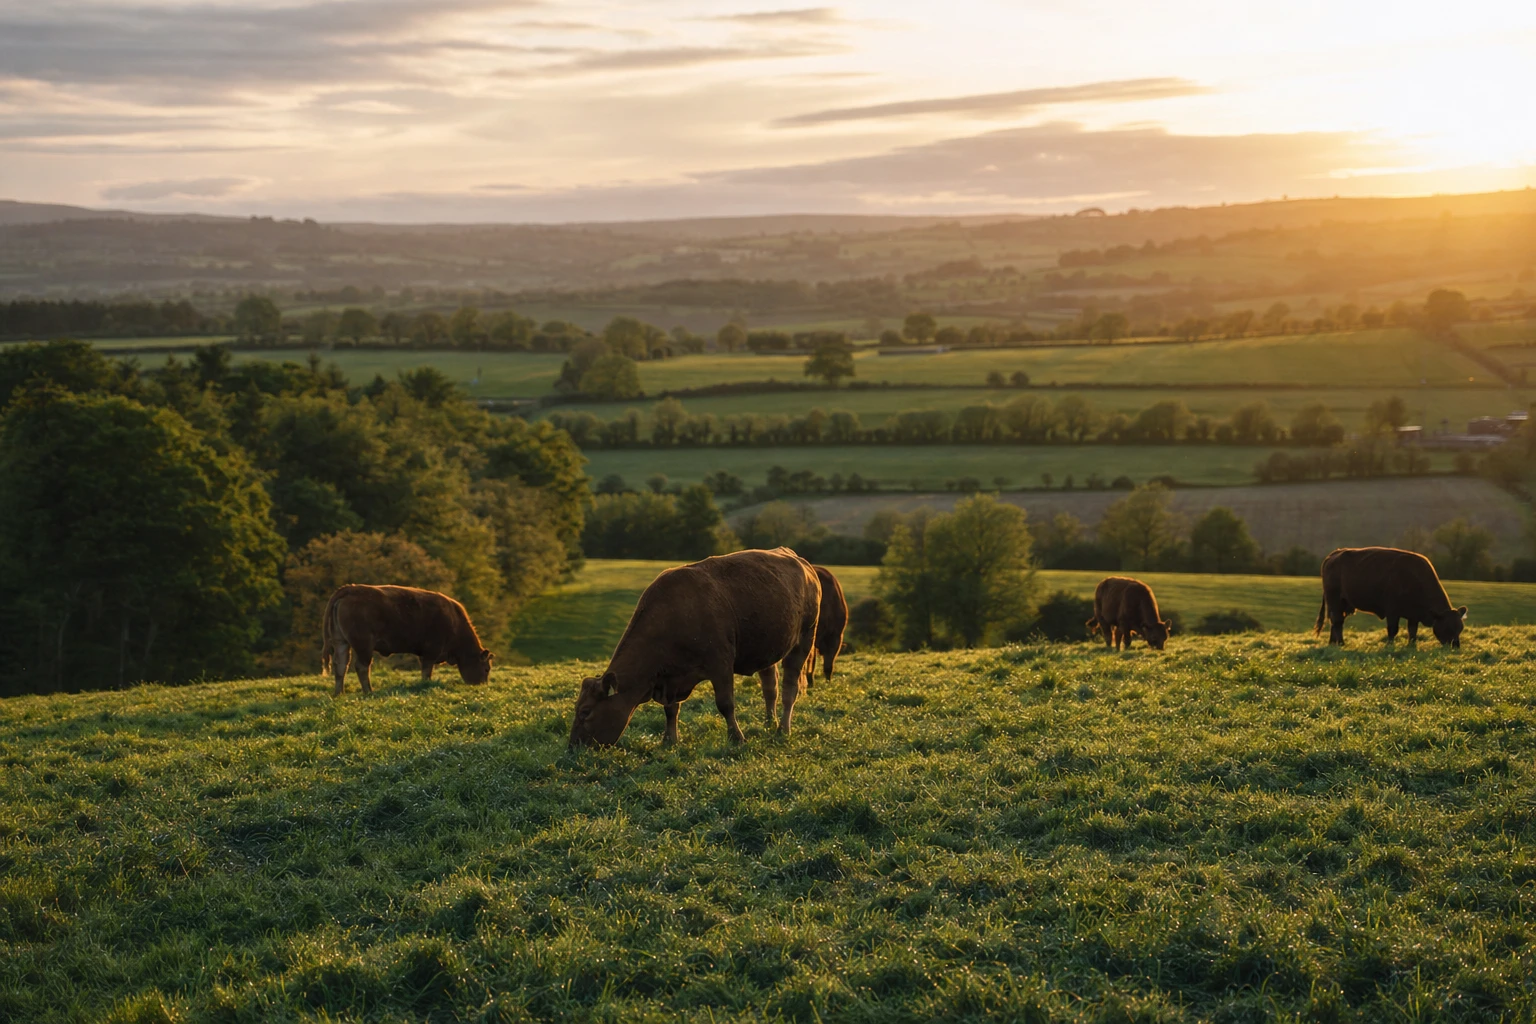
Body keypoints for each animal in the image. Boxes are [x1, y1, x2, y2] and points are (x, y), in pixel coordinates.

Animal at [321, 584, 494, 696]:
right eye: (486, 669)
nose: (482, 686)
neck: (455, 621)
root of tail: (350, 589)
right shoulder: (431, 650)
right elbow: (427, 671)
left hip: (341, 642)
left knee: (341, 666)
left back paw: (339, 693)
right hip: (363, 645)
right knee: (361, 667)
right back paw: (369, 692)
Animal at [569, 547, 821, 748]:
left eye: (585, 712)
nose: (572, 748)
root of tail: (800, 561)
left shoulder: (721, 664)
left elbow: (725, 704)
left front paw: (737, 738)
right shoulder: (671, 677)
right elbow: (671, 709)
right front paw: (669, 740)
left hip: (803, 641)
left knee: (789, 689)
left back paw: (782, 729)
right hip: (766, 649)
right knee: (770, 688)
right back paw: (769, 723)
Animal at [1315, 546, 1467, 648]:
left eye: (1460, 628)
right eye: (1447, 627)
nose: (1456, 645)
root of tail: (1334, 555)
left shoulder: (1413, 615)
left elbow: (1412, 631)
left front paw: (1411, 645)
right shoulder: (1392, 612)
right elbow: (1393, 630)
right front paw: (1390, 645)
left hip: (1344, 605)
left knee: (1335, 621)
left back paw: (1332, 643)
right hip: (1335, 601)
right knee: (1337, 621)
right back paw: (1341, 643)